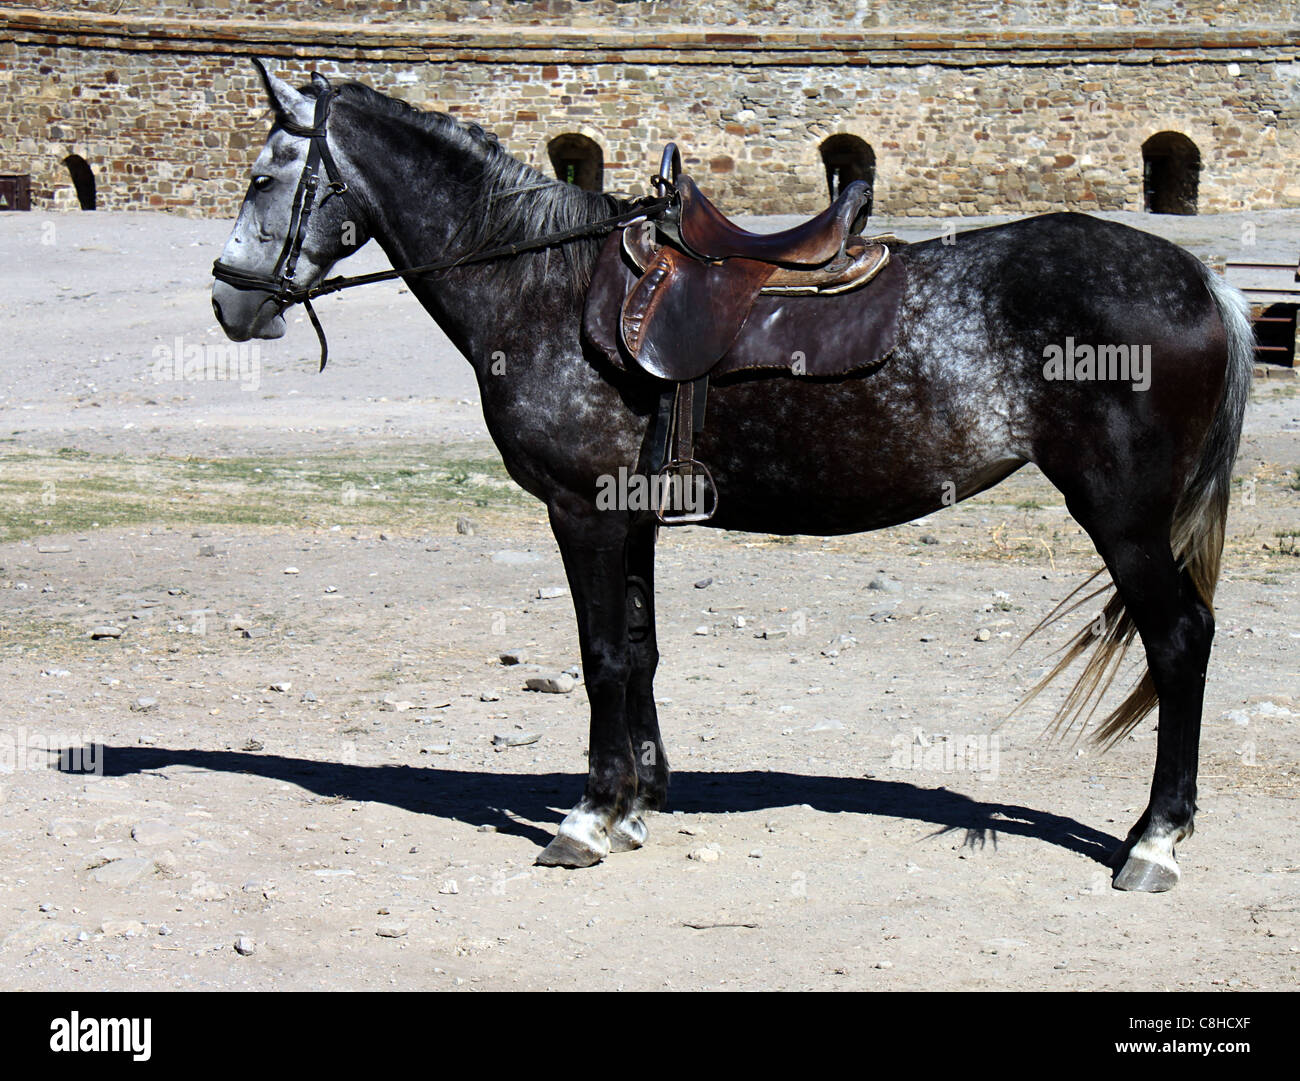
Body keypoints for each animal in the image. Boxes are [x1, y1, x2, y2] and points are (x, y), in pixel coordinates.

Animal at [210, 69, 1248, 893]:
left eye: (264, 176)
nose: (227, 298)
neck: (548, 286)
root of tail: (1202, 280)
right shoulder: (632, 518)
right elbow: (639, 651)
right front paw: (634, 804)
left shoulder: (582, 514)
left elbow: (600, 655)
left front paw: (588, 818)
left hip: (1123, 518)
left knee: (1181, 640)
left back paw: (1154, 840)